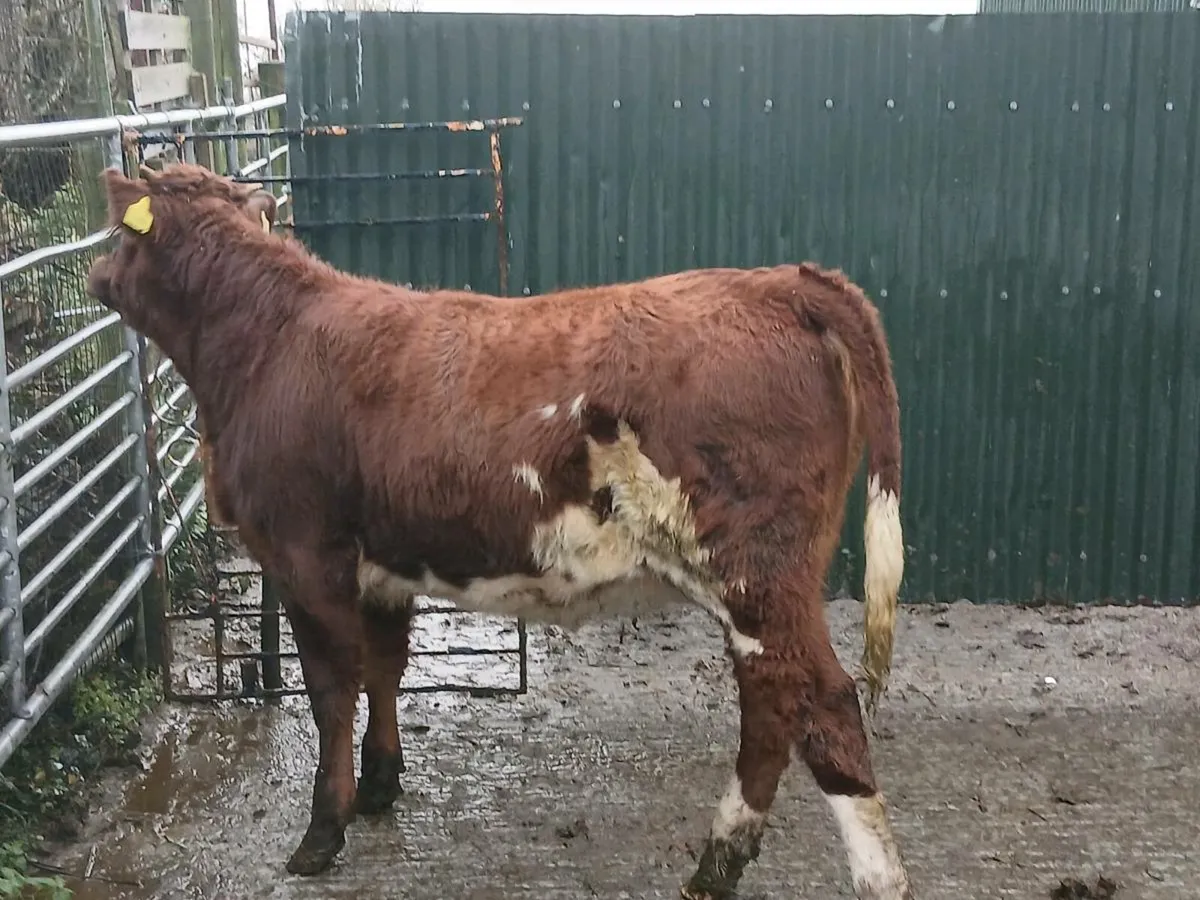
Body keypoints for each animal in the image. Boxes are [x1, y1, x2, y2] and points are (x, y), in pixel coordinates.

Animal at [87, 163, 911, 900]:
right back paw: (716, 867)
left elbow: (330, 688)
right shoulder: (384, 564)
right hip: (757, 585)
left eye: (119, 231)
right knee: (772, 705)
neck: (268, 342)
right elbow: (386, 667)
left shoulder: (303, 553)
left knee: (824, 705)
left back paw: (867, 878)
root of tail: (778, 280)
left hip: (755, 569)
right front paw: (381, 785)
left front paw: (323, 831)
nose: (95, 273)